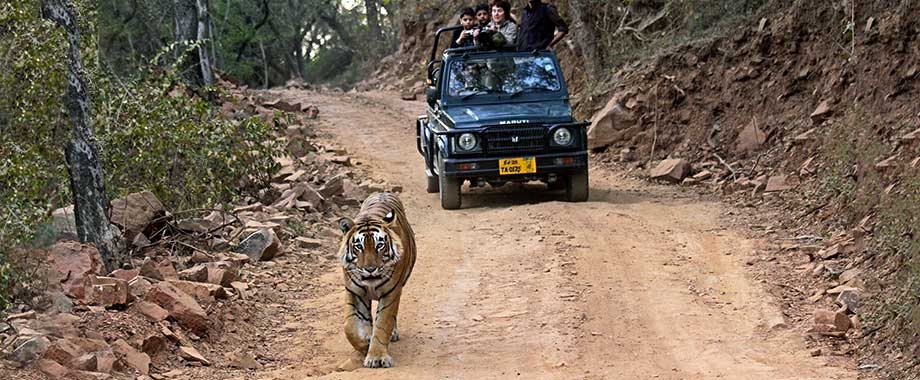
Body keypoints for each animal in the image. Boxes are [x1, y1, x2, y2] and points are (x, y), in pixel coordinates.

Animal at [336, 191, 416, 366]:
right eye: (359, 246)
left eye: (380, 245)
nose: (370, 269)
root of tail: (382, 192)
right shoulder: (354, 292)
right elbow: (350, 326)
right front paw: (365, 343)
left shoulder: (391, 292)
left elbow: (383, 324)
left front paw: (376, 357)